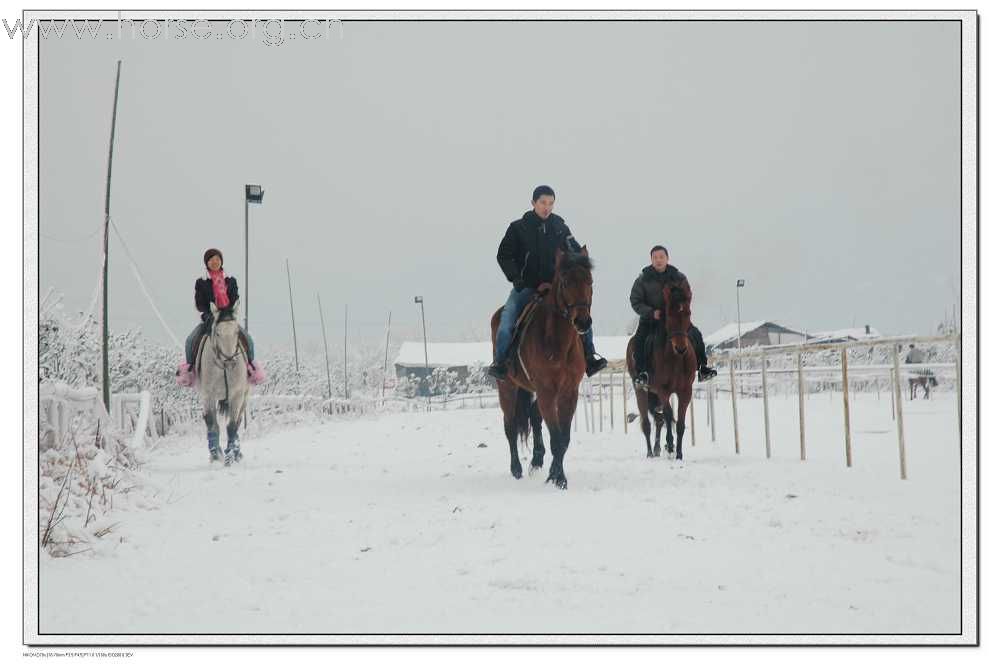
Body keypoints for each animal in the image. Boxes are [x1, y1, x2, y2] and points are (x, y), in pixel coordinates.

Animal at [196, 302, 249, 464]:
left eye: (236, 331)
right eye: (218, 333)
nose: (230, 360)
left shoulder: (237, 395)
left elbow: (232, 426)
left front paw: (230, 456)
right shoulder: (208, 395)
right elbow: (211, 423)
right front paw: (215, 454)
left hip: (244, 397)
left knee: (238, 421)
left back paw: (237, 453)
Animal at [492, 246, 592, 490]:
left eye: (589, 281)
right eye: (565, 282)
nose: (583, 322)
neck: (558, 341)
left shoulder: (568, 393)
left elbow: (563, 438)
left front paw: (554, 474)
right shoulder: (547, 391)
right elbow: (556, 438)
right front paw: (559, 478)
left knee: (534, 417)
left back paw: (537, 459)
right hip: (507, 388)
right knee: (510, 427)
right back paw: (516, 469)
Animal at [624, 280, 696, 456]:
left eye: (688, 313)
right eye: (669, 315)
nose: (681, 348)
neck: (676, 359)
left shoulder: (685, 391)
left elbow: (680, 423)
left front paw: (678, 453)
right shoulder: (663, 390)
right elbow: (669, 415)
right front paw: (670, 445)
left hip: (653, 395)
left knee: (658, 419)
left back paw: (657, 448)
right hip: (641, 391)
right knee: (647, 423)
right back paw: (650, 452)